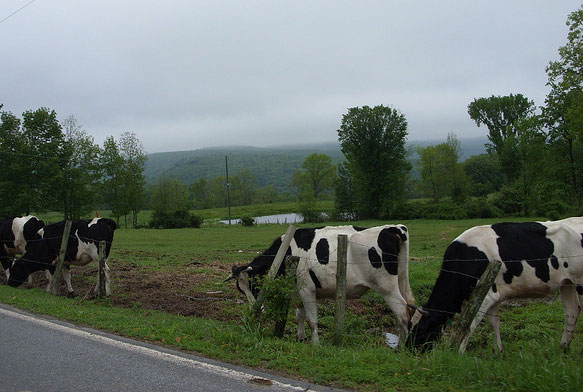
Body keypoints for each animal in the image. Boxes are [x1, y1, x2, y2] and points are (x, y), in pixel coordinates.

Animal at [226, 225, 412, 344]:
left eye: (255, 285)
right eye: (241, 291)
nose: (255, 309)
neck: (288, 250)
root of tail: (393, 228)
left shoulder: (307, 289)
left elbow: (311, 319)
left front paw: (315, 343)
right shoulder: (298, 290)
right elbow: (299, 315)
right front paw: (300, 338)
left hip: (386, 288)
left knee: (403, 315)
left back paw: (404, 348)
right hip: (401, 280)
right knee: (404, 312)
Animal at [406, 220, 583, 352]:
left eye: (421, 330)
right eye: (409, 326)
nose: (409, 350)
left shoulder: (485, 295)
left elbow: (469, 325)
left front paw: (457, 352)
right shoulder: (492, 296)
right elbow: (493, 324)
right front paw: (498, 352)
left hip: (580, 282)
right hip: (567, 283)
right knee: (571, 313)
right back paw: (563, 348)